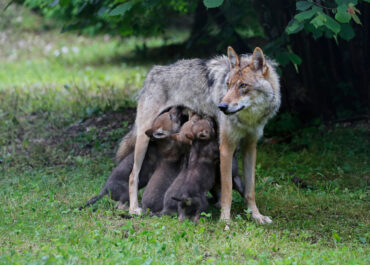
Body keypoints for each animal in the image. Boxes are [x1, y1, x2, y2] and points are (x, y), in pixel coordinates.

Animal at [118, 47, 280, 223]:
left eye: (243, 85)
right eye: (228, 85)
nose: (221, 106)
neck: (248, 118)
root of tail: (153, 72)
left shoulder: (250, 147)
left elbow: (250, 190)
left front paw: (257, 216)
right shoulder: (226, 148)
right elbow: (228, 192)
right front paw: (225, 220)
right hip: (143, 140)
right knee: (133, 175)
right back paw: (133, 209)